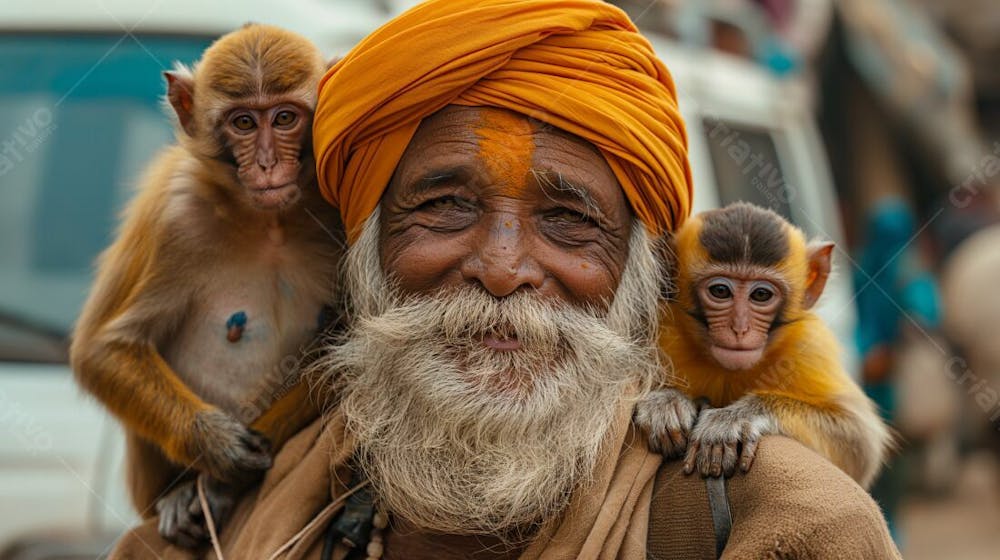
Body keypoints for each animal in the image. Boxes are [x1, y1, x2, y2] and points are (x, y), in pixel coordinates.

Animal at [70, 25, 344, 548]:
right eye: (243, 122)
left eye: (284, 118)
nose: (266, 163)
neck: (269, 222)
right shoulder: (171, 216)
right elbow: (104, 349)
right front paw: (216, 447)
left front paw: (220, 483)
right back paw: (175, 497)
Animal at [632, 203, 892, 488]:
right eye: (720, 291)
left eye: (761, 295)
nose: (740, 328)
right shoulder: (657, 325)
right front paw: (668, 402)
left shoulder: (810, 347)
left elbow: (860, 442)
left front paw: (736, 418)